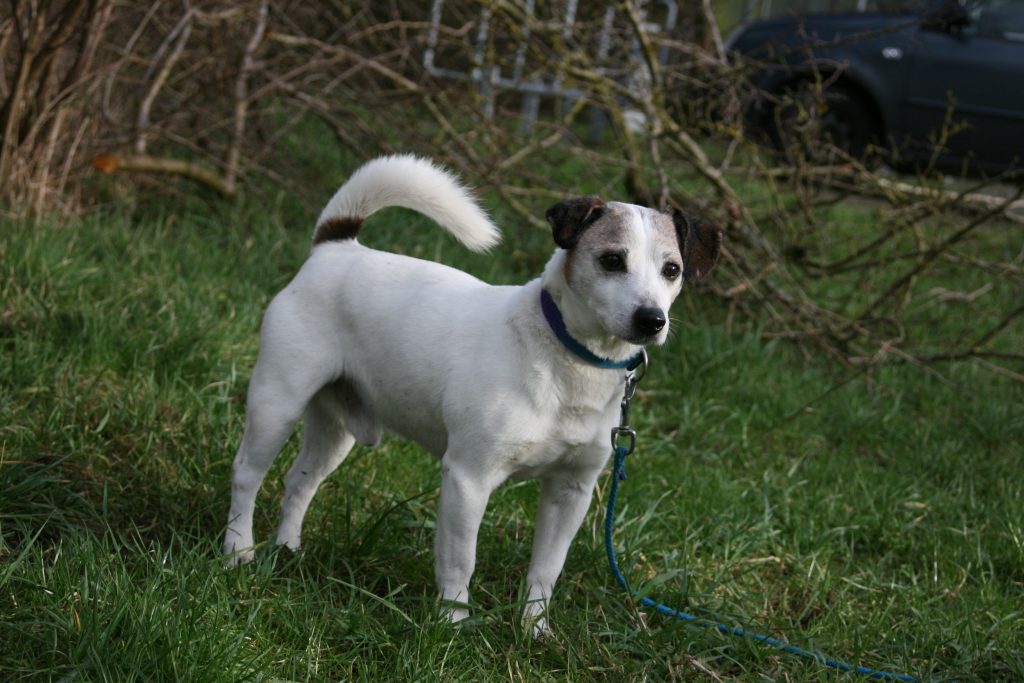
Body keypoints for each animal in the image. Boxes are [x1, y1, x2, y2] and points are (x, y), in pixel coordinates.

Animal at [223, 155, 721, 633]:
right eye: (612, 260)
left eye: (672, 270)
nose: (651, 319)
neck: (564, 358)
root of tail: (336, 248)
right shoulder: (468, 478)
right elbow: (461, 559)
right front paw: (453, 622)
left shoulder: (571, 491)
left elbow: (546, 568)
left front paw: (533, 629)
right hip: (276, 404)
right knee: (247, 474)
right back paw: (238, 551)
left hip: (335, 431)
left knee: (300, 481)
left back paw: (287, 549)